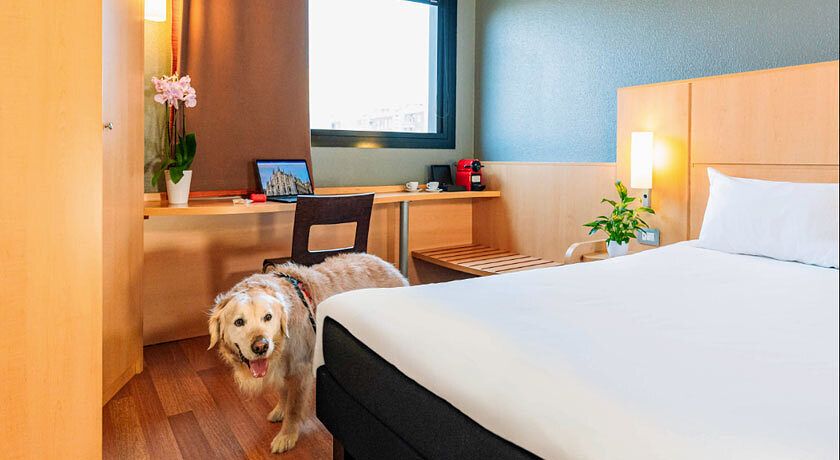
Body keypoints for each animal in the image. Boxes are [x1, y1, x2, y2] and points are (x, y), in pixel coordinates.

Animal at [207, 253, 408, 453]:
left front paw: (286, 436)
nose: (261, 346)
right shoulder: (282, 367)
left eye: (268, 317)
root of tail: (390, 266)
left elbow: (294, 408)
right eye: (239, 322)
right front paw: (280, 410)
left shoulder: (300, 370)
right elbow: (283, 393)